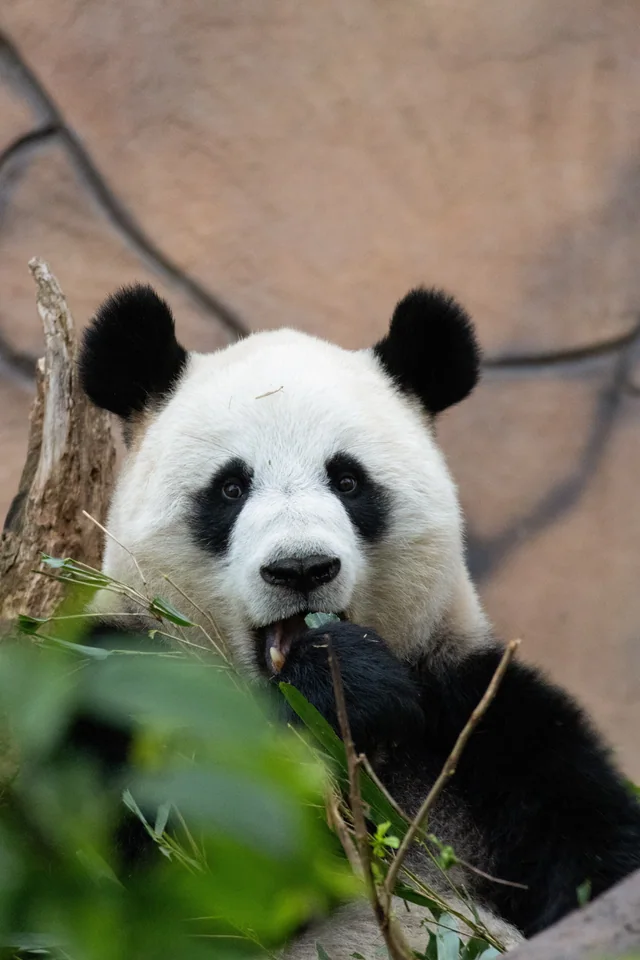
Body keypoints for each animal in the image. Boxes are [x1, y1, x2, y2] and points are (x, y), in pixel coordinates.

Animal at [76, 283, 640, 955]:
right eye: (231, 488)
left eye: (347, 480)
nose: (300, 568)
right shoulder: (117, 684)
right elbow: (182, 861)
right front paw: (340, 680)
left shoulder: (480, 719)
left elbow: (593, 851)